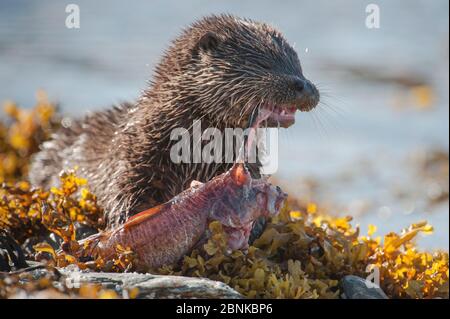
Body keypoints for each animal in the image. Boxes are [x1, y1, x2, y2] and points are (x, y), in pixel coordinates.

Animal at [29, 15, 318, 229]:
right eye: (265, 64)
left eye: (298, 65)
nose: (305, 86)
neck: (191, 154)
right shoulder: (130, 157)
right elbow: (122, 190)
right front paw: (124, 223)